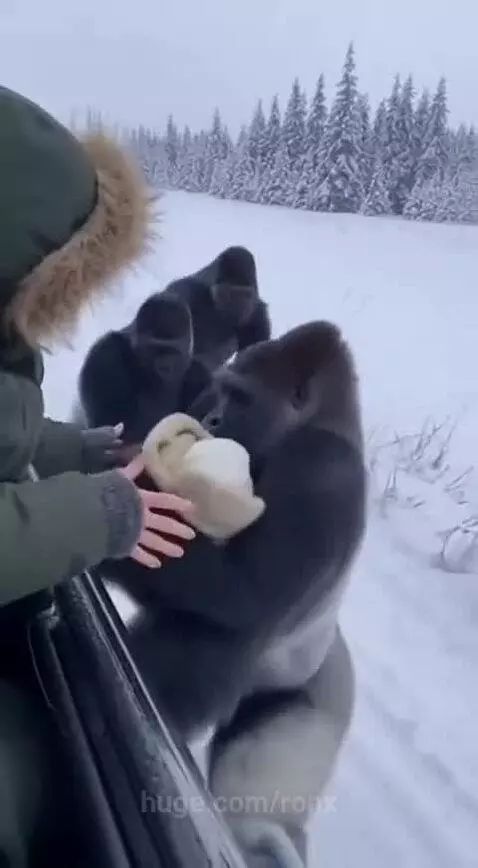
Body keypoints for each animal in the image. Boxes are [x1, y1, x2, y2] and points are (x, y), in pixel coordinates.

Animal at [101, 320, 366, 865]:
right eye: (220, 390)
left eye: (241, 396)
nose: (212, 416)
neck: (326, 420)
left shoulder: (324, 472)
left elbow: (238, 594)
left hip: (309, 723)